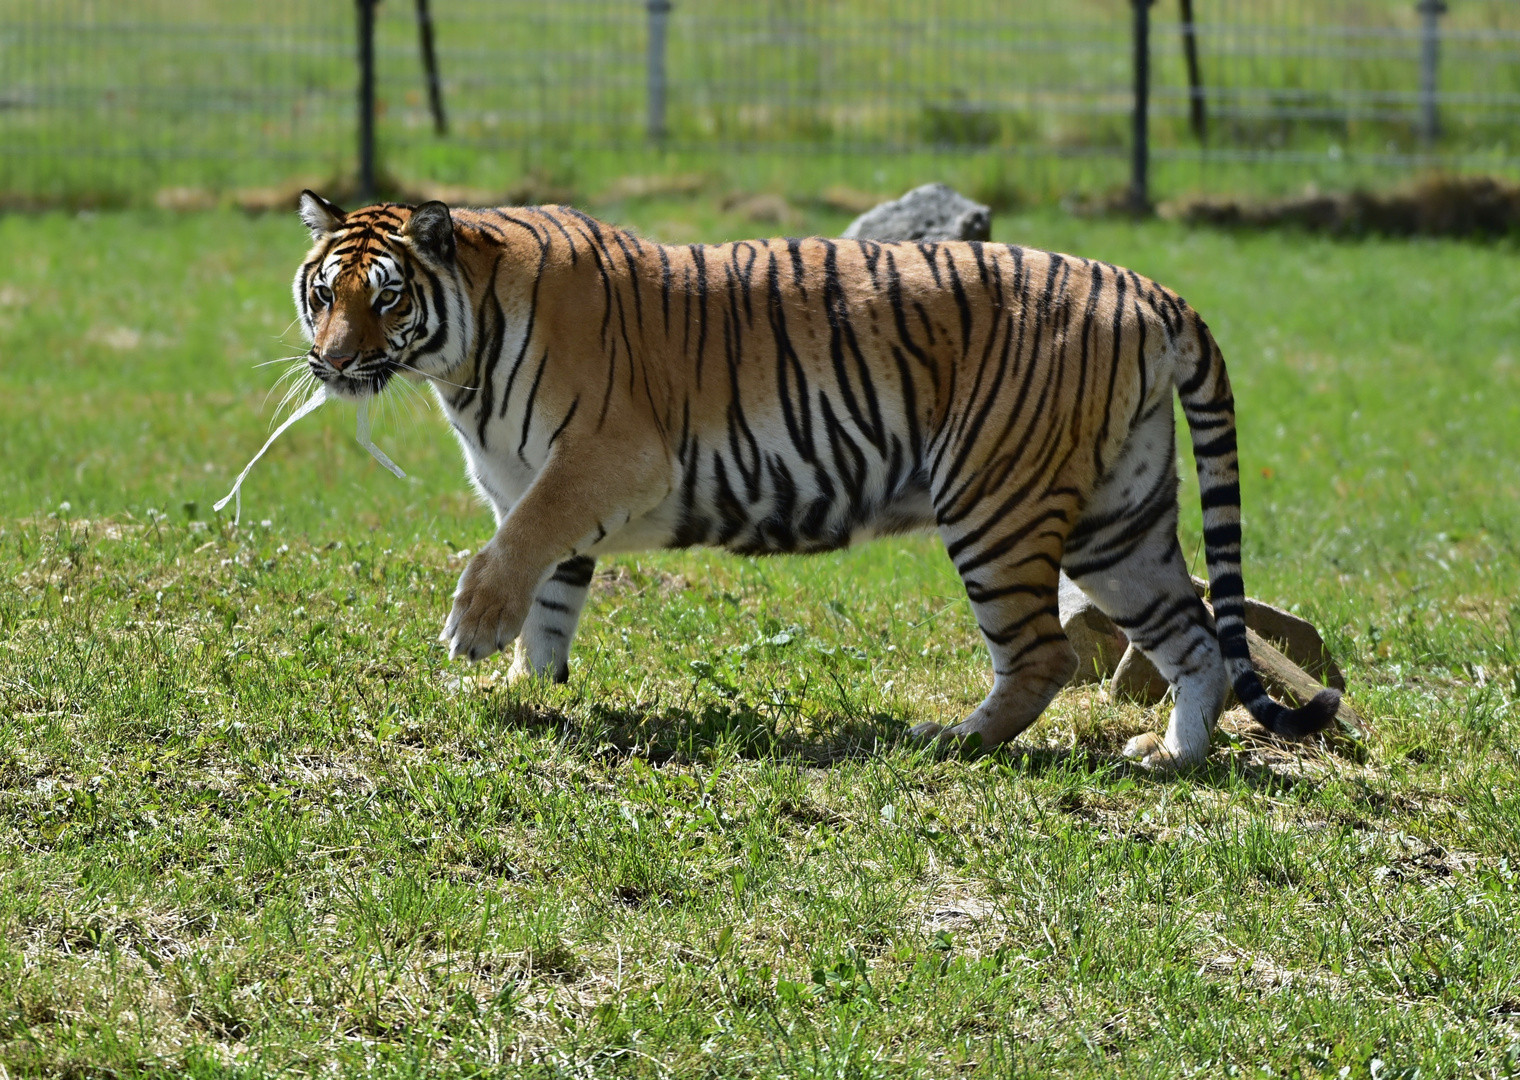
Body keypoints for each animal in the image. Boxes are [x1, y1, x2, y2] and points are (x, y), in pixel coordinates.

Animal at [290, 192, 1337, 768]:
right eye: (322, 294)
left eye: (386, 298)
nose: (329, 363)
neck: (459, 363)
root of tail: (1145, 286)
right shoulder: (538, 483)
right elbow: (550, 589)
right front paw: (527, 686)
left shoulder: (596, 461)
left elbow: (515, 552)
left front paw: (471, 634)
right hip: (1119, 522)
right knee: (1195, 640)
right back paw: (1169, 757)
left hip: (996, 500)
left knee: (1042, 655)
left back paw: (952, 741)